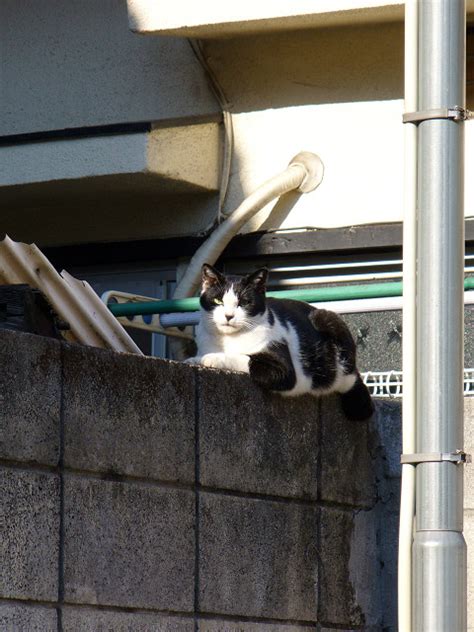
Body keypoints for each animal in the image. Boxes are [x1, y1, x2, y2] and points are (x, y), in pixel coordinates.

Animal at [185, 262, 374, 420]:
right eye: (218, 300)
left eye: (244, 302)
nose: (229, 316)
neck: (228, 339)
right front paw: (195, 359)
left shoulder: (284, 369)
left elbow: (245, 358)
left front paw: (211, 358)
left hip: (327, 319)